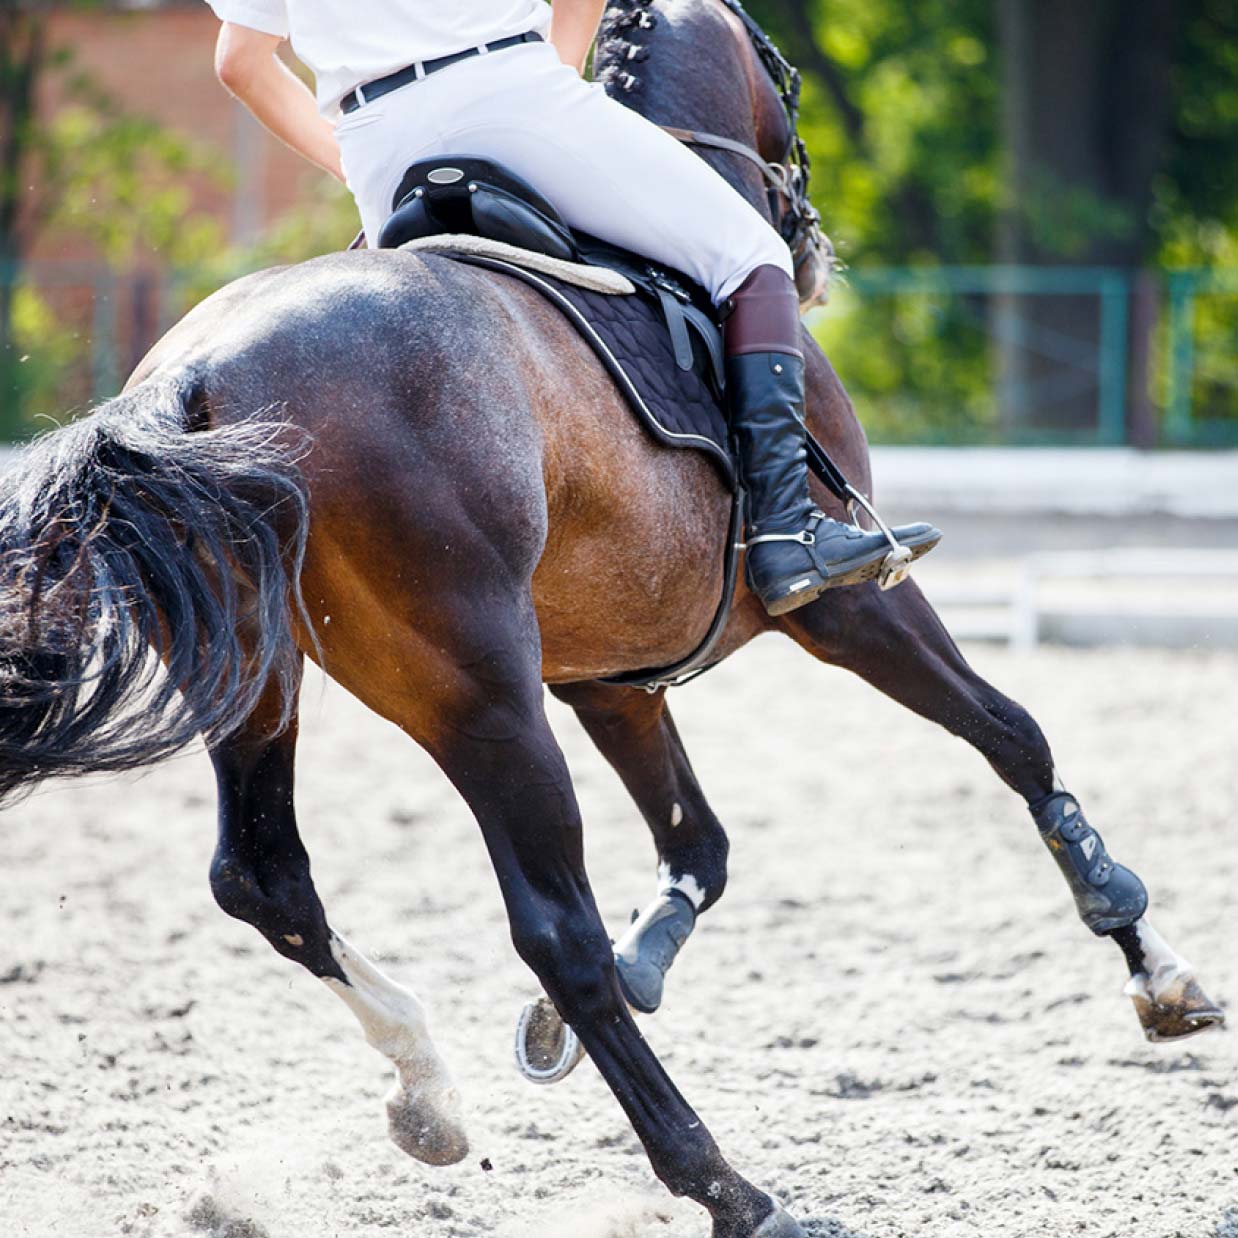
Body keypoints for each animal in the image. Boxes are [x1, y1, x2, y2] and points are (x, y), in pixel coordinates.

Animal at [0, 1, 1222, 1235]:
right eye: (780, 70)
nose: (812, 245)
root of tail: (196, 379)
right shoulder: (844, 604)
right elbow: (1012, 734)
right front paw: (1152, 964)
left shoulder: (608, 671)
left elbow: (701, 845)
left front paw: (615, 987)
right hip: (482, 701)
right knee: (553, 930)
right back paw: (729, 1187)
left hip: (260, 680)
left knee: (264, 877)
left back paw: (428, 1092)